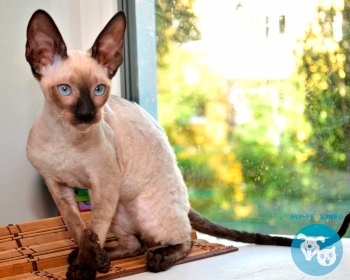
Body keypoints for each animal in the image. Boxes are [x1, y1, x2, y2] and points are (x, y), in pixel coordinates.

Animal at [25, 9, 350, 280]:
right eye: (64, 90)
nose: (87, 115)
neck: (66, 139)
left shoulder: (104, 183)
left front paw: (85, 268)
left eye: (99, 90)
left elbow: (93, 231)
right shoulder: (60, 187)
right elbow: (80, 230)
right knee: (133, 244)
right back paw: (102, 256)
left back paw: (156, 259)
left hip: (140, 209)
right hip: (119, 209)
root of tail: (185, 201)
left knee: (181, 241)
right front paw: (88, 260)